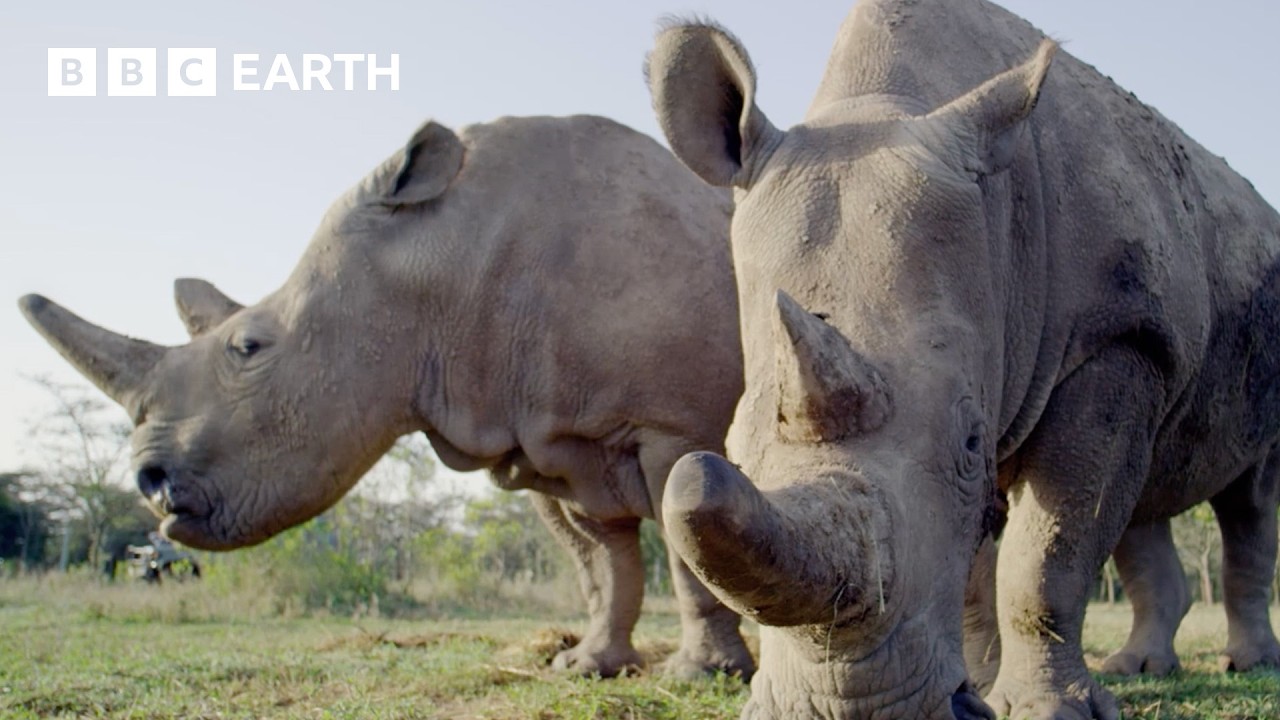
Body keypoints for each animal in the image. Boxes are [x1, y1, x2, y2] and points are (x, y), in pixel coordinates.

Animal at [17, 114, 755, 680]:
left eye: (249, 347)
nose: (149, 483)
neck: (439, 258)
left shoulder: (674, 425)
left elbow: (686, 554)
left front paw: (700, 677)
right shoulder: (543, 438)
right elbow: (600, 564)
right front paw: (585, 667)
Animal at [647, 0, 1280, 717]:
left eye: (972, 442)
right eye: (734, 446)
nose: (851, 705)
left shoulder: (1114, 338)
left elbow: (1046, 554)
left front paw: (1044, 710)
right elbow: (979, 576)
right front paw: (982, 688)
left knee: (1251, 495)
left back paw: (1248, 665)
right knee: (1144, 493)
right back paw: (1142, 668)